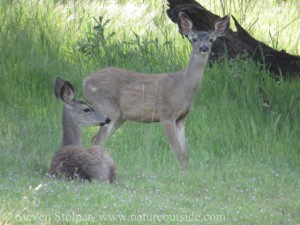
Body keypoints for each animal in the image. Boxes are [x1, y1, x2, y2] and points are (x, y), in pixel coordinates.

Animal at [82, 12, 230, 171]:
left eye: (211, 39)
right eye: (194, 39)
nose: (204, 48)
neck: (183, 87)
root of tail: (85, 82)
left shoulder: (181, 119)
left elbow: (185, 152)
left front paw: (187, 172)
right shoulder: (166, 114)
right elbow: (178, 150)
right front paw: (183, 174)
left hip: (120, 116)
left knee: (96, 140)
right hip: (107, 107)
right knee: (97, 140)